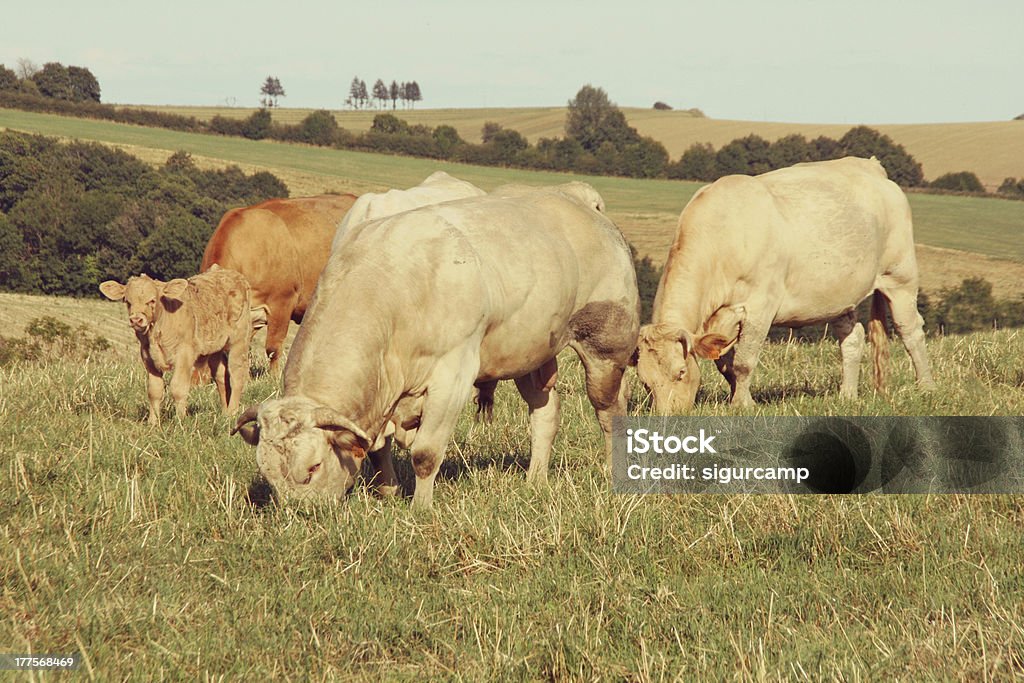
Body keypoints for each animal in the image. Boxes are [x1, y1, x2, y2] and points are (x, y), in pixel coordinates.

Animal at [99, 268, 251, 423]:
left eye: (152, 300)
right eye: (128, 302)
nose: (136, 319)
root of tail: (231, 274)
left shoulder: (184, 355)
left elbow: (178, 388)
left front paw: (180, 421)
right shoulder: (148, 358)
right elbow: (154, 391)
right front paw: (153, 422)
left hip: (239, 342)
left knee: (237, 376)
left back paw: (232, 413)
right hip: (215, 349)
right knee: (221, 377)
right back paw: (224, 414)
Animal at [235, 181, 643, 507]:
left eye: (313, 467)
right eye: (269, 476)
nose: (301, 516)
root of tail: (576, 196)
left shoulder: (452, 375)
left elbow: (426, 453)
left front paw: (420, 508)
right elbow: (378, 448)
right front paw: (388, 493)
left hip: (606, 347)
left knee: (609, 411)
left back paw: (612, 471)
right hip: (530, 352)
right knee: (545, 413)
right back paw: (535, 479)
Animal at [638, 156, 937, 411]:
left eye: (681, 372)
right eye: (645, 382)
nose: (668, 415)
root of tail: (872, 166)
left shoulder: (761, 306)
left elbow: (744, 361)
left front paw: (742, 405)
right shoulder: (722, 320)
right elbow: (726, 364)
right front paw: (739, 396)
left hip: (900, 277)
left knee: (911, 331)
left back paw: (926, 387)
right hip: (840, 294)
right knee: (853, 338)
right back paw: (847, 395)